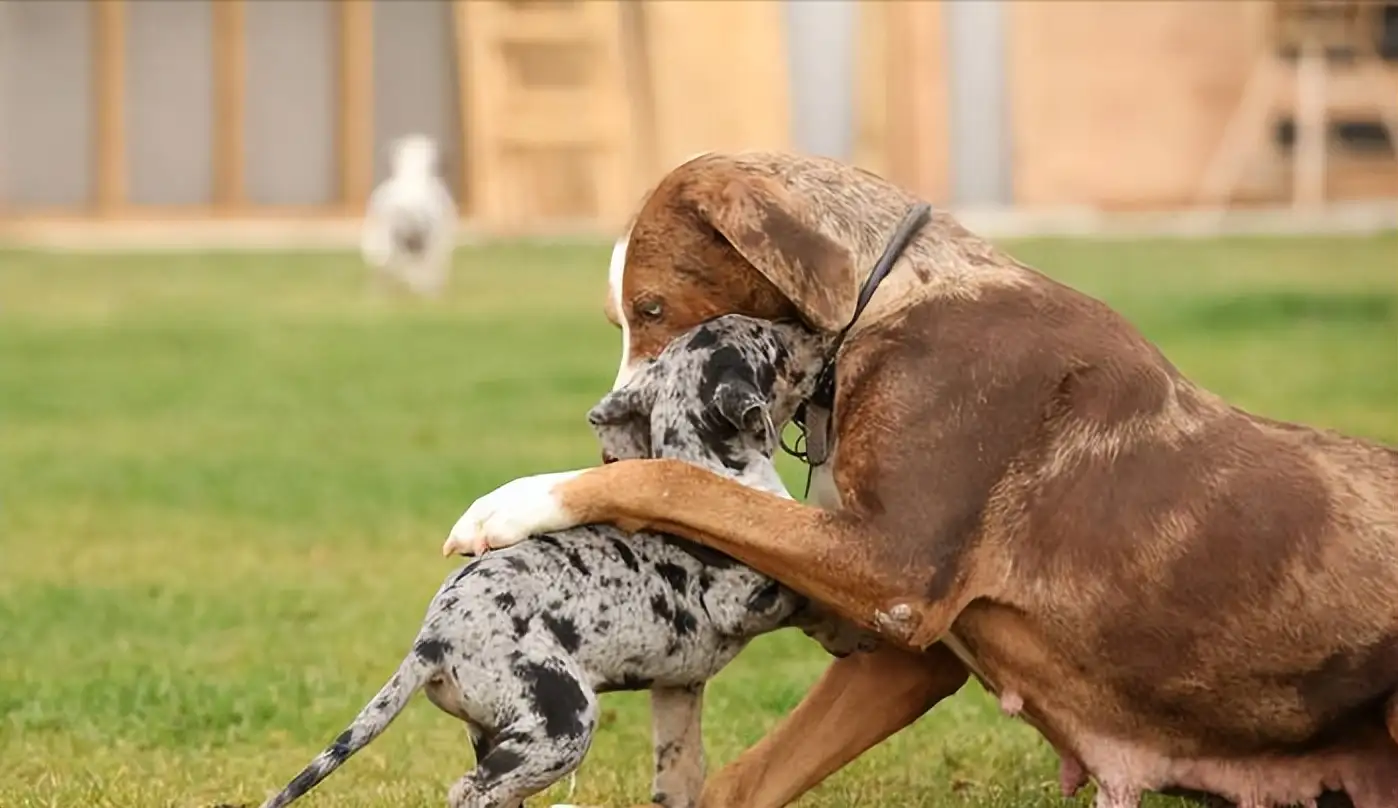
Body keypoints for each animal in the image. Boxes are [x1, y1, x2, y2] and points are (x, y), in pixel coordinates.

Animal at [255, 313, 866, 805]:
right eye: (774, 344)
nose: (817, 328)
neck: (713, 469)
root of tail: (431, 642)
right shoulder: (742, 599)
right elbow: (803, 595)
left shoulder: (678, 686)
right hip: (563, 722)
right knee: (470, 792)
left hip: (501, 732)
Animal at [444, 152, 1398, 805]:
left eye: (650, 309)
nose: (608, 433)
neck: (891, 299)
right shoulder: (908, 655)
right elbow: (745, 778)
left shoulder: (893, 568)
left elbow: (677, 484)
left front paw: (516, 501)